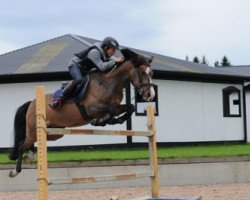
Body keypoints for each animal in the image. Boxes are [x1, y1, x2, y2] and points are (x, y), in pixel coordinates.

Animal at [8, 48, 155, 178]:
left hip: (54, 132)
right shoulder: (93, 109)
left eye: (152, 73)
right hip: (35, 129)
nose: (151, 95)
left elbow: (130, 107)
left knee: (32, 141)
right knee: (21, 144)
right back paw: (15, 171)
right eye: (142, 72)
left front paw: (111, 120)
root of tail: (31, 103)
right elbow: (111, 110)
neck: (110, 83)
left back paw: (30, 156)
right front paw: (105, 120)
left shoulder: (116, 106)